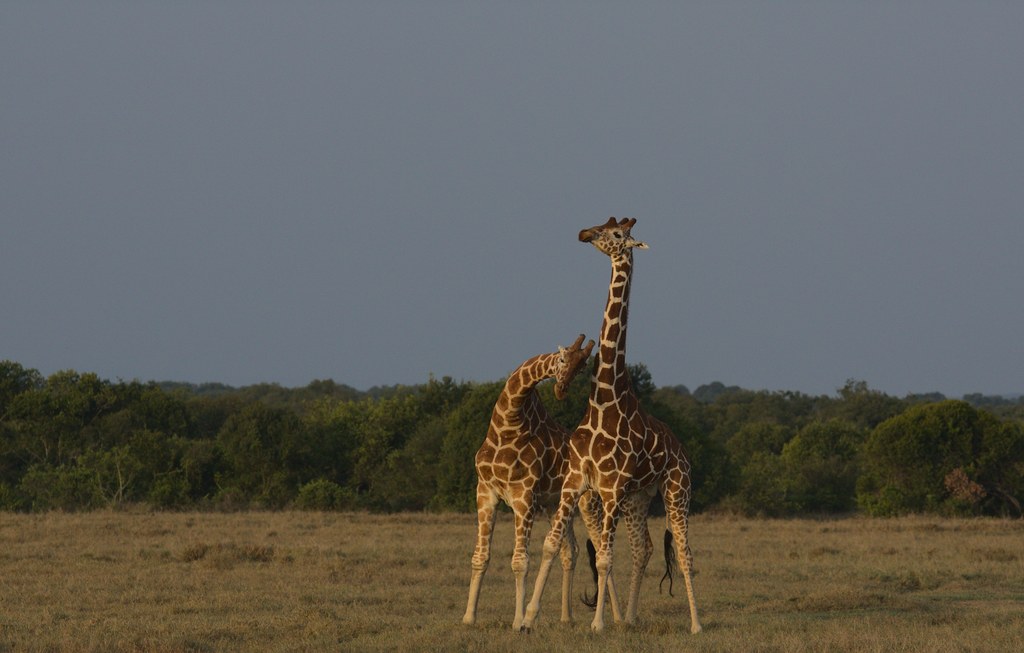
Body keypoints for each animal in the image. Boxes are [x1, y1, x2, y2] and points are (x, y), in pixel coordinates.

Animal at [460, 335, 618, 630]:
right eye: (563, 359)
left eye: (582, 368)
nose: (561, 389)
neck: (508, 424)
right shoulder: (485, 492)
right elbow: (480, 557)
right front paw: (468, 617)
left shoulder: (524, 496)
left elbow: (520, 562)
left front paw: (518, 620)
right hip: (556, 506)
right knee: (571, 551)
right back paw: (566, 617)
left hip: (590, 504)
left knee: (600, 551)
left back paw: (617, 616)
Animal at [524, 219, 700, 634]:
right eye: (604, 224)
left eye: (618, 235)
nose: (584, 234)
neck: (604, 401)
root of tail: (681, 449)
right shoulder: (576, 482)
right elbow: (552, 545)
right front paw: (526, 618)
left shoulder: (611, 488)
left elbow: (604, 558)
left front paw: (598, 624)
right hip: (640, 497)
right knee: (643, 548)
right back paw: (632, 618)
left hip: (675, 490)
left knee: (684, 552)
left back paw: (696, 624)